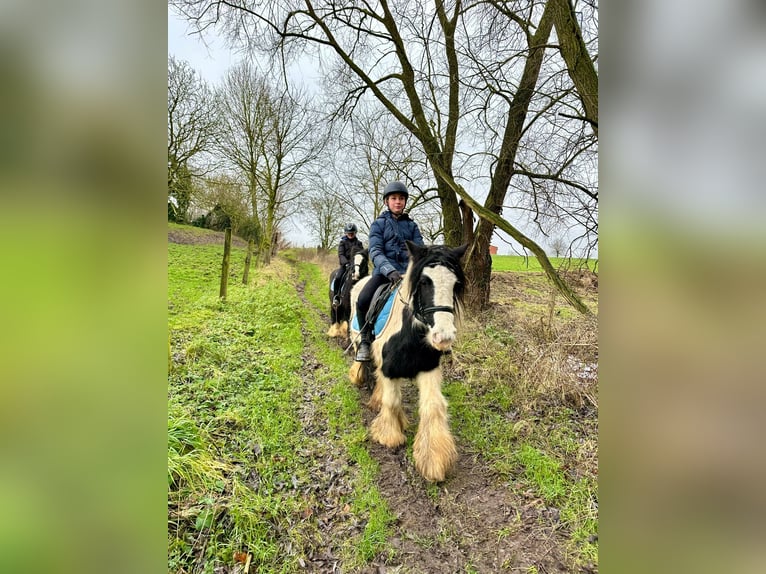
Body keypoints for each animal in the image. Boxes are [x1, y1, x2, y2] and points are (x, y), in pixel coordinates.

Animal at [348, 241, 468, 484]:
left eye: (455, 284)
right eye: (424, 282)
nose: (443, 337)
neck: (410, 334)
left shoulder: (428, 369)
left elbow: (433, 406)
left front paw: (433, 459)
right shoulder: (390, 370)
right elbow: (392, 401)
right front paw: (389, 434)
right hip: (357, 339)